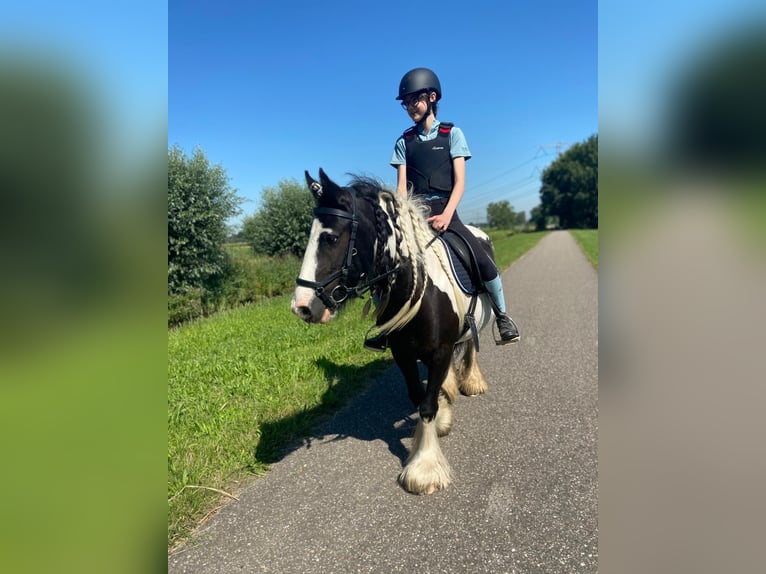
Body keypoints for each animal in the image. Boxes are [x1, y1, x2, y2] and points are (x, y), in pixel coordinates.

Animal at [292, 170, 496, 496]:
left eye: (331, 238)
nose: (301, 306)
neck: (420, 290)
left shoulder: (440, 350)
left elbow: (426, 404)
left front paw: (424, 468)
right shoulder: (404, 353)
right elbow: (419, 397)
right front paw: (440, 421)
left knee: (472, 348)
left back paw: (473, 381)